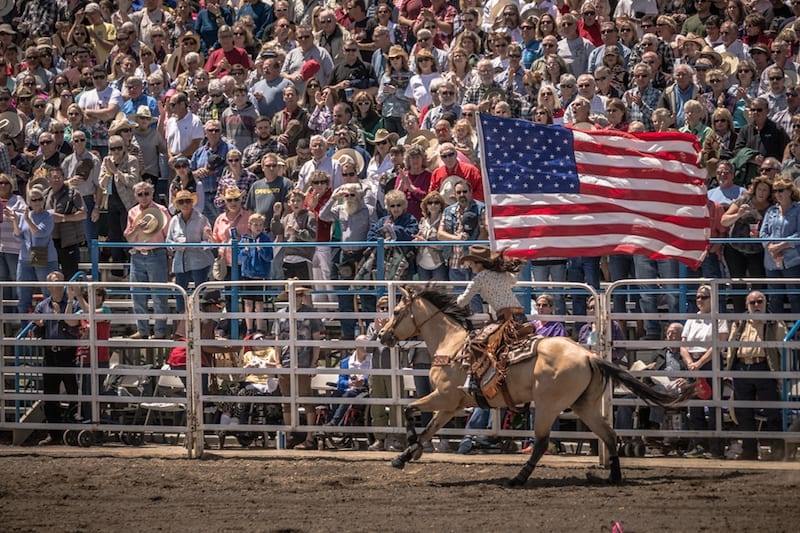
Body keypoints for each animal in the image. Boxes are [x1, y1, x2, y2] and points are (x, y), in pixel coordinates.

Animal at [378, 288, 692, 484]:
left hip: (547, 405)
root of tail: (589, 355)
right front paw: (406, 455)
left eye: (396, 311)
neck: (452, 345)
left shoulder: (443, 398)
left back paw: (518, 478)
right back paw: (613, 477)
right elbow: (429, 427)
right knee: (610, 435)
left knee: (541, 443)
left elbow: (409, 410)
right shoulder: (451, 405)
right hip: (584, 405)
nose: (382, 335)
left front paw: (410, 448)